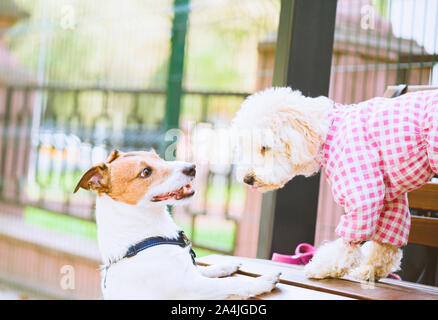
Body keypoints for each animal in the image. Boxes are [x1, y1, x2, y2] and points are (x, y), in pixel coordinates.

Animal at [73, 150, 278, 300]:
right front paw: (262, 282)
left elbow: (204, 269)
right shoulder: (191, 287)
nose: (192, 167)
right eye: (145, 172)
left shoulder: (189, 274)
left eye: (159, 158)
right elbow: (230, 284)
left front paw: (225, 266)